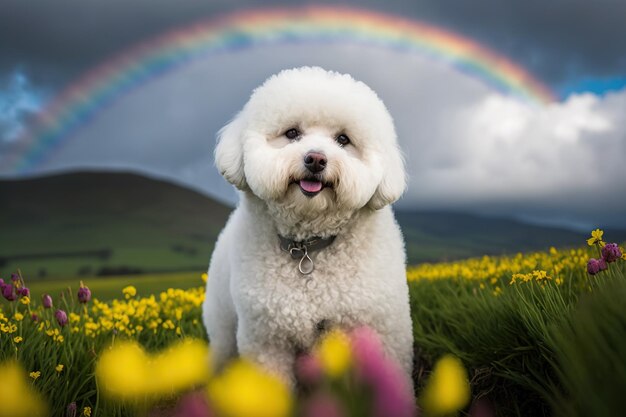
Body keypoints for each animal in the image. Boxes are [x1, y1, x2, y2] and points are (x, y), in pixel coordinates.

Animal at [202, 66, 412, 386]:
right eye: (291, 133)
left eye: (343, 139)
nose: (315, 158)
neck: (308, 246)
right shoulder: (267, 341)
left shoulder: (384, 331)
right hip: (223, 328)